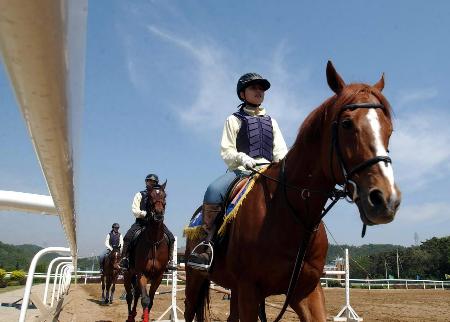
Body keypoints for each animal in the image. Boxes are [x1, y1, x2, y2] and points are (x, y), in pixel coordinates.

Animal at [123, 181, 169, 322]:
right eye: (150, 196)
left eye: (165, 196)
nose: (158, 214)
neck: (153, 241)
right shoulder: (141, 273)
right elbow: (145, 300)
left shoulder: (158, 276)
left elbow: (151, 299)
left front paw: (144, 315)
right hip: (128, 274)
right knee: (130, 296)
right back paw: (130, 317)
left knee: (137, 293)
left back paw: (134, 314)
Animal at [185, 61, 402, 322]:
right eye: (347, 124)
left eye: (389, 129)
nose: (385, 200)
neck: (291, 214)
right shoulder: (249, 288)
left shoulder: (306, 291)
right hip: (195, 279)